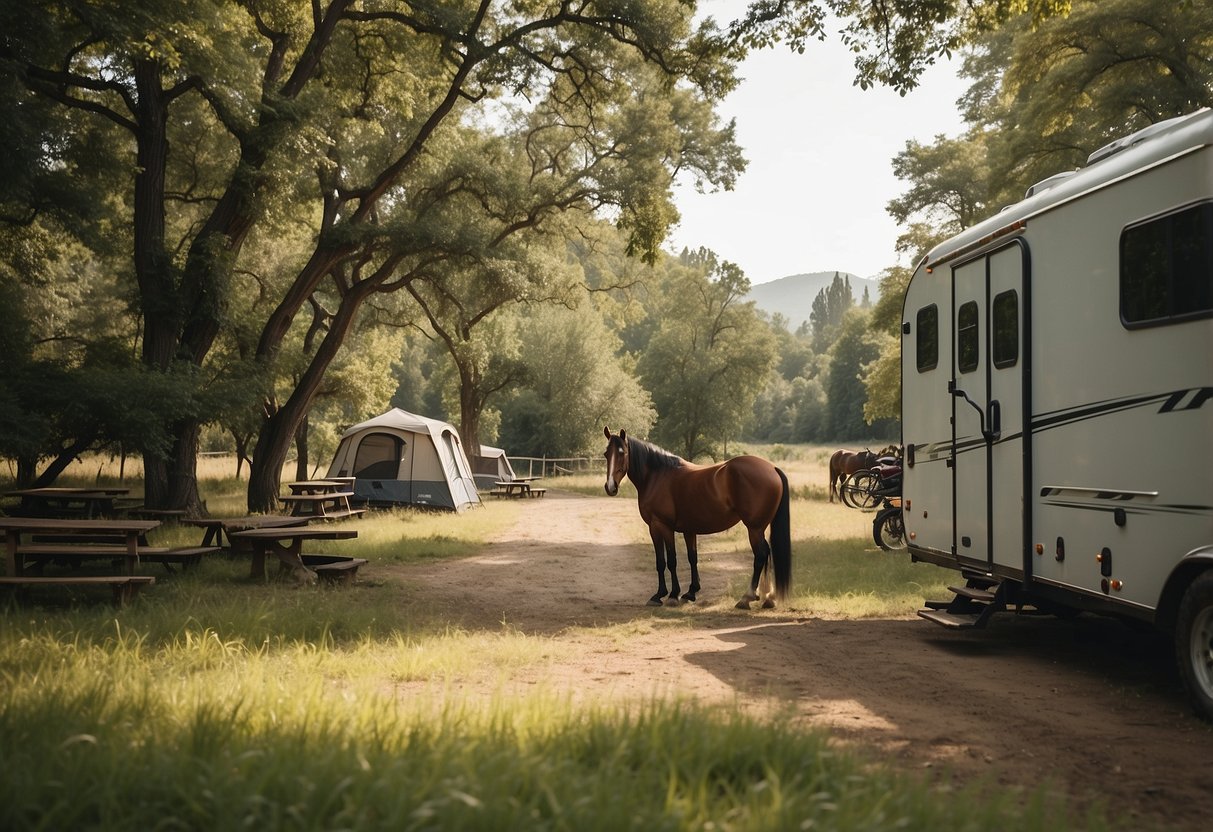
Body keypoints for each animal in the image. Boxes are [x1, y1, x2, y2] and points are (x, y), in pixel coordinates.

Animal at [601, 426, 790, 608]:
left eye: (622, 453)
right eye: (606, 454)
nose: (610, 487)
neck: (657, 476)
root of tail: (772, 469)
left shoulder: (660, 526)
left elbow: (667, 560)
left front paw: (667, 595)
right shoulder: (689, 529)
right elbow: (692, 558)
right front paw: (690, 592)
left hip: (754, 528)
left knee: (760, 555)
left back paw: (747, 598)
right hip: (759, 528)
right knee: (766, 554)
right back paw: (768, 597)